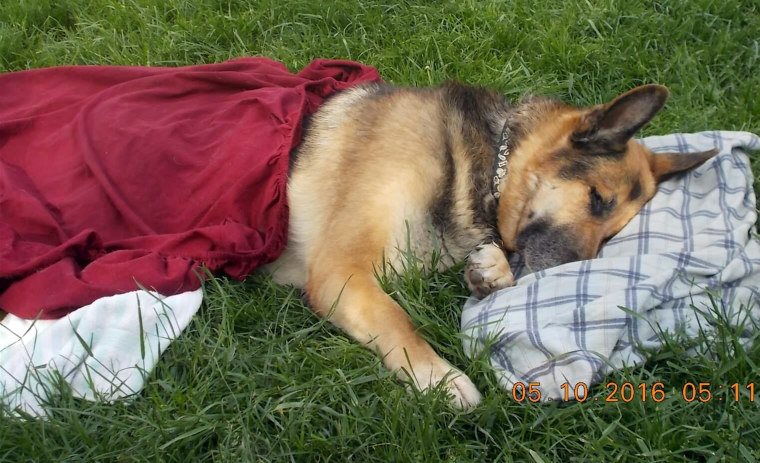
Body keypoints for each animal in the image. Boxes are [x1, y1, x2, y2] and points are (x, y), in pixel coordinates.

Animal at [264, 81, 716, 408]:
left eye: (612, 235)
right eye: (598, 199)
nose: (575, 271)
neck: (489, 160)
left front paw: (491, 269)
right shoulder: (341, 271)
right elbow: (396, 317)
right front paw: (439, 376)